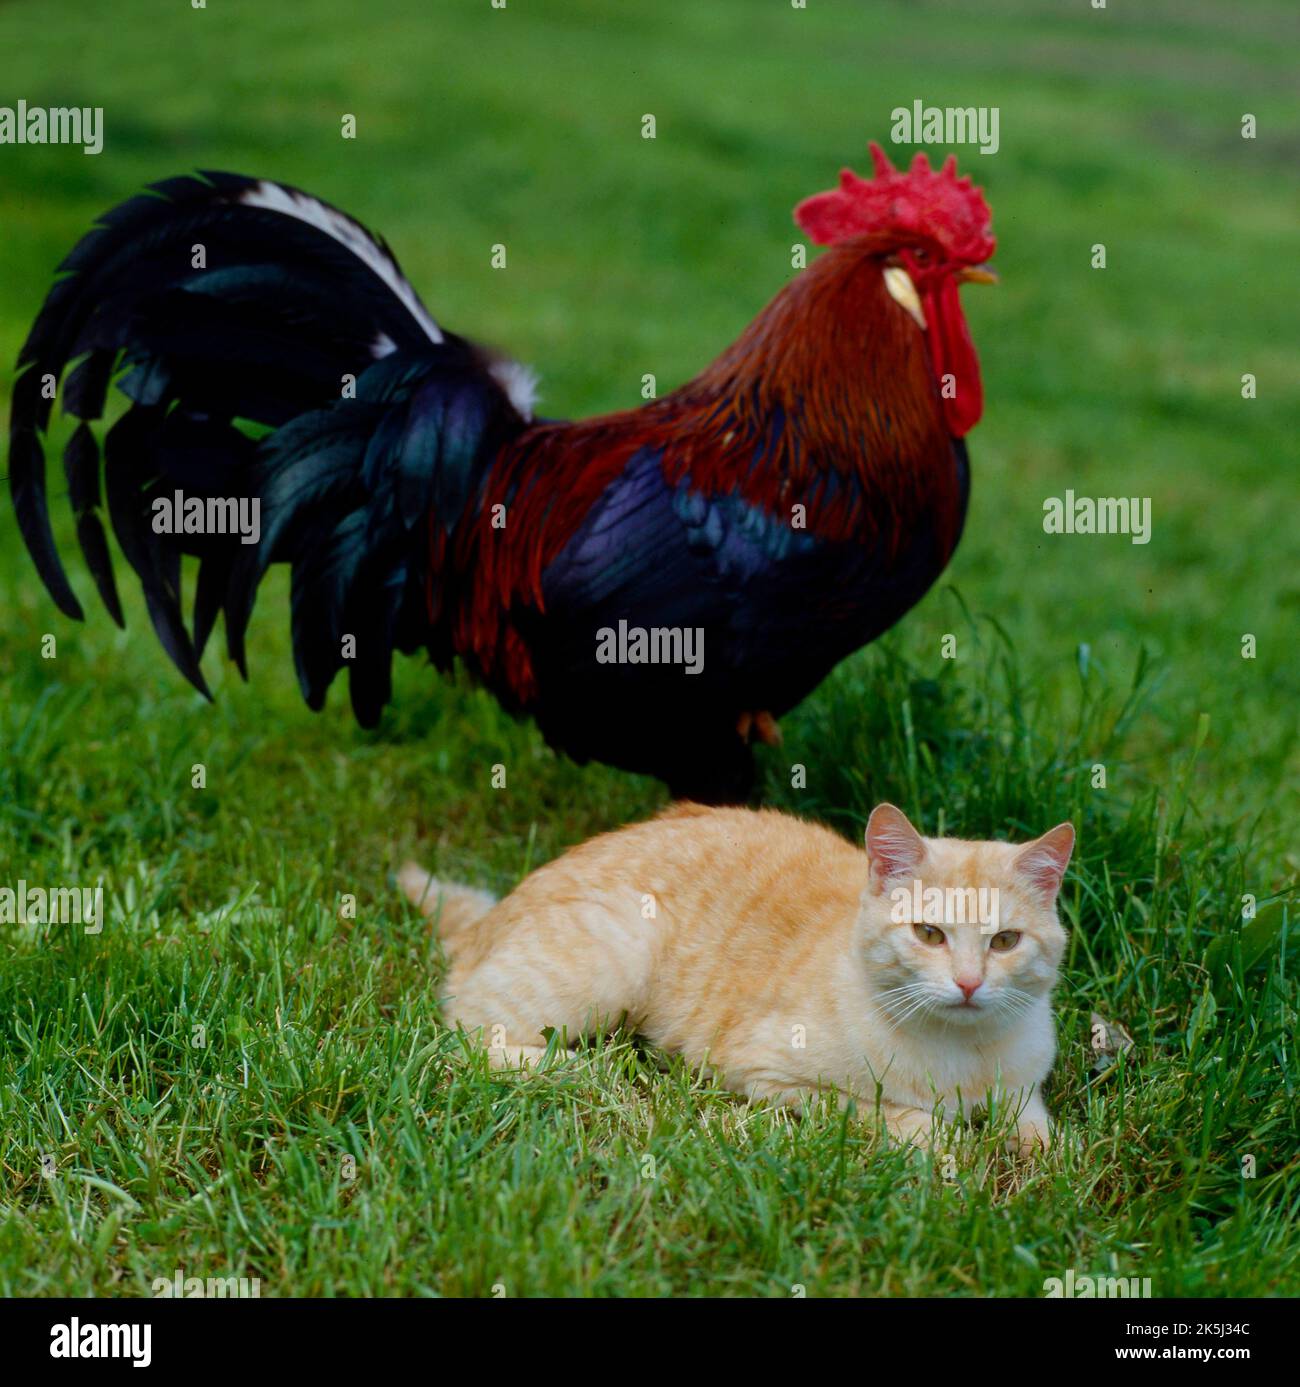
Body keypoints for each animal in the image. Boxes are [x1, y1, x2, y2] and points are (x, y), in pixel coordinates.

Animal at [399, 804, 1071, 1148]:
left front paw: (1039, 1167)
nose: (968, 984)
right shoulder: (769, 1076)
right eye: (929, 934)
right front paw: (952, 1148)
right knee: (460, 1036)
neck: (964, 1054)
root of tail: (490, 918)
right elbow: (899, 1117)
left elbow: (1047, 1140)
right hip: (612, 956)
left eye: (1005, 941)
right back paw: (583, 1070)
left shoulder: (1024, 1093)